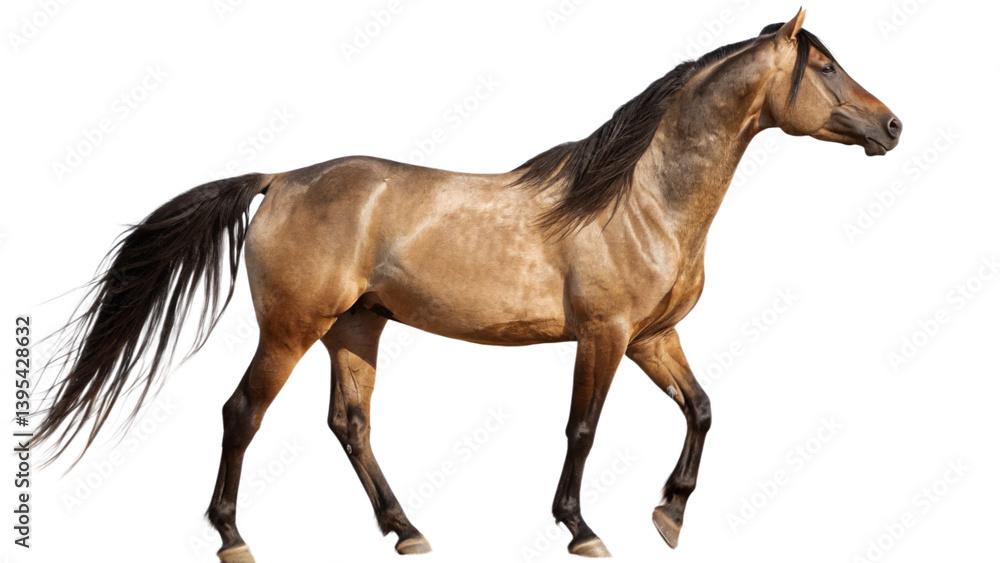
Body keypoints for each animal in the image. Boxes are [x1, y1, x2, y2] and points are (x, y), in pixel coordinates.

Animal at [35, 10, 900, 561]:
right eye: (824, 66)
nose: (892, 125)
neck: (640, 198)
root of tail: (280, 180)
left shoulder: (654, 336)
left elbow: (703, 408)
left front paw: (671, 511)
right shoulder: (605, 335)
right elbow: (582, 429)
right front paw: (581, 528)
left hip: (357, 327)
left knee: (349, 423)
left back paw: (406, 528)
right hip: (291, 329)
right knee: (242, 412)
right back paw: (233, 537)